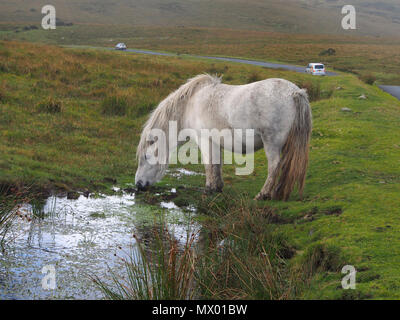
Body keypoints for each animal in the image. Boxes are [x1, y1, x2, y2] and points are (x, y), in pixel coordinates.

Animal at [137, 74, 312, 201]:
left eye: (146, 156)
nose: (138, 184)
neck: (190, 105)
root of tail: (295, 93)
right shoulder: (215, 142)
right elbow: (217, 164)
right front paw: (217, 187)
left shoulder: (204, 140)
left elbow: (209, 164)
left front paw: (209, 188)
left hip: (272, 143)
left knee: (274, 165)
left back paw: (263, 194)